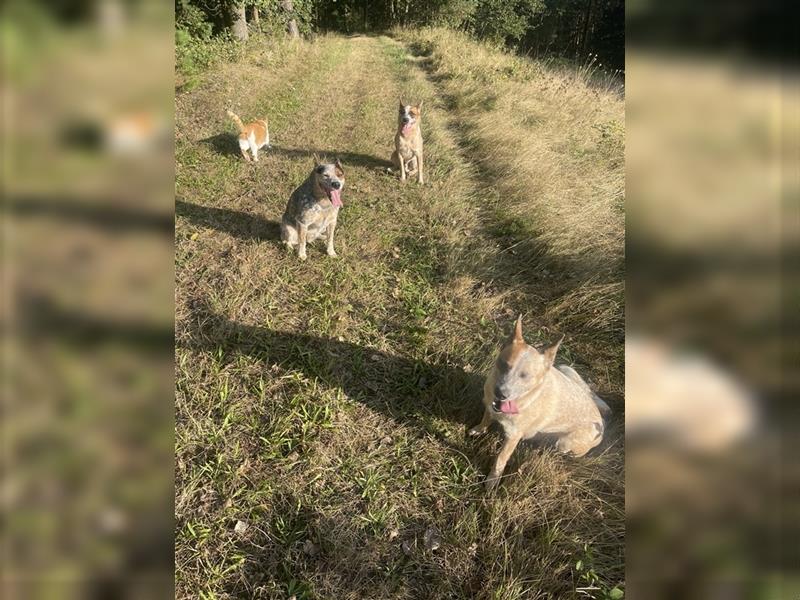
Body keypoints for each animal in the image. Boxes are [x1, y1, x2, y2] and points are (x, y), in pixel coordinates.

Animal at [466, 316, 608, 490]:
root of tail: (601, 421)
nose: (500, 393)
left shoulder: (513, 436)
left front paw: (492, 481)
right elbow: (485, 418)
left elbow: (501, 459)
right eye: (503, 364)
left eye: (525, 376)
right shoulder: (489, 405)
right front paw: (479, 429)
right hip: (565, 368)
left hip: (565, 443)